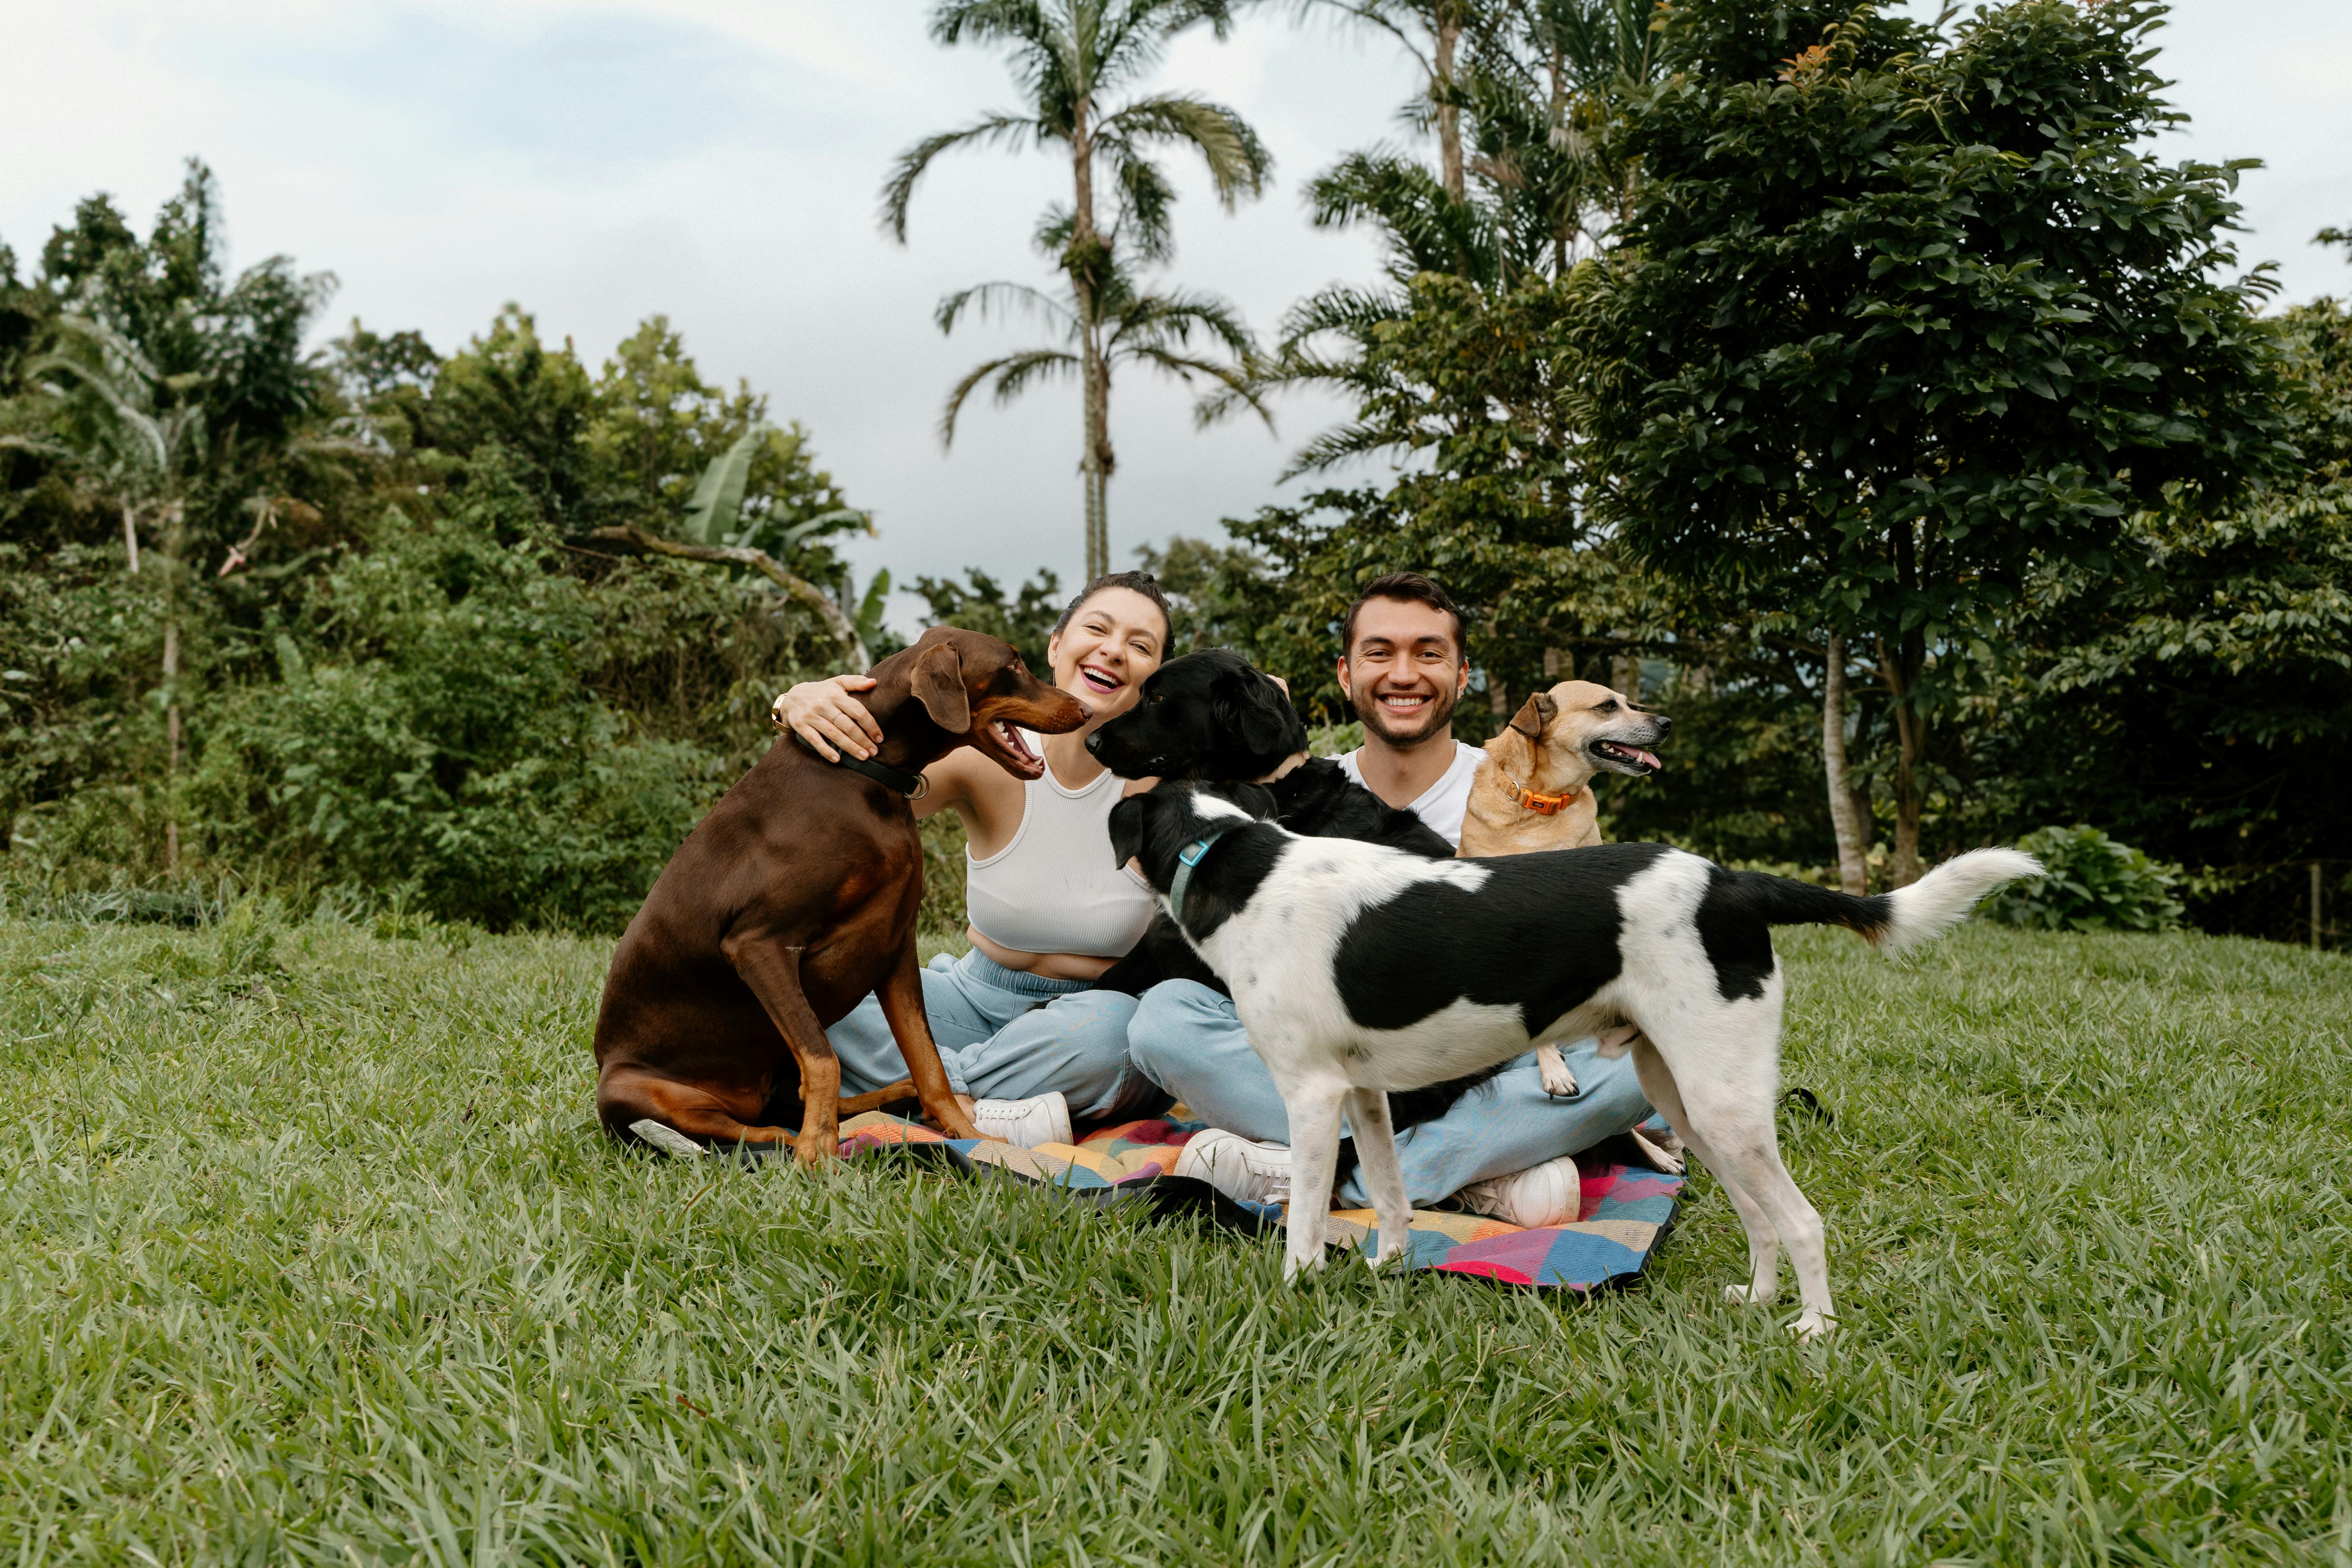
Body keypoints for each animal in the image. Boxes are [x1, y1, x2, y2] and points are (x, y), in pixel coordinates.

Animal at [602, 630, 1086, 1166]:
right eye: (1013, 665)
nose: (1086, 710)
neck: (867, 773)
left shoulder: (895, 946)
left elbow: (928, 1062)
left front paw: (966, 1133)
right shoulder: (758, 946)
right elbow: (823, 1061)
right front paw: (819, 1154)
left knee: (794, 1104)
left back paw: (893, 1098)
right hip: (632, 1089)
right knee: (754, 1130)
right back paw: (803, 1141)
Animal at [1105, 780, 2041, 1335]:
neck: (1234, 863)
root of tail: (1734, 882)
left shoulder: (1308, 1094)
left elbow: (1303, 1216)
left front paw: (1298, 1289)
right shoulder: (1363, 1092)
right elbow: (1395, 1198)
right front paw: (1387, 1270)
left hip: (1724, 1100)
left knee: (1801, 1218)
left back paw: (1812, 1329)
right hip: (1692, 1098)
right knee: (1757, 1214)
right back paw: (1760, 1299)